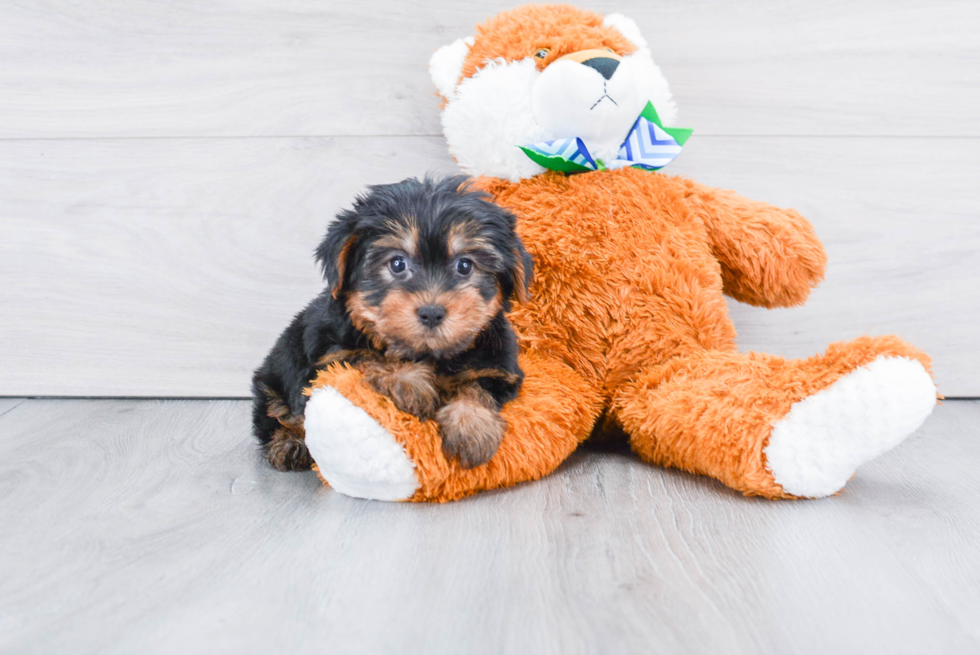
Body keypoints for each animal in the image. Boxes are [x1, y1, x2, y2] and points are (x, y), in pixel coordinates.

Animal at [249, 174, 532, 472]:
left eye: (465, 266)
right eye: (397, 264)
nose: (431, 312)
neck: (431, 355)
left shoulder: (499, 368)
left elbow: (476, 387)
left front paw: (471, 427)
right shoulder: (325, 359)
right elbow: (367, 355)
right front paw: (409, 381)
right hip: (272, 378)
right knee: (275, 414)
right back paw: (289, 444)